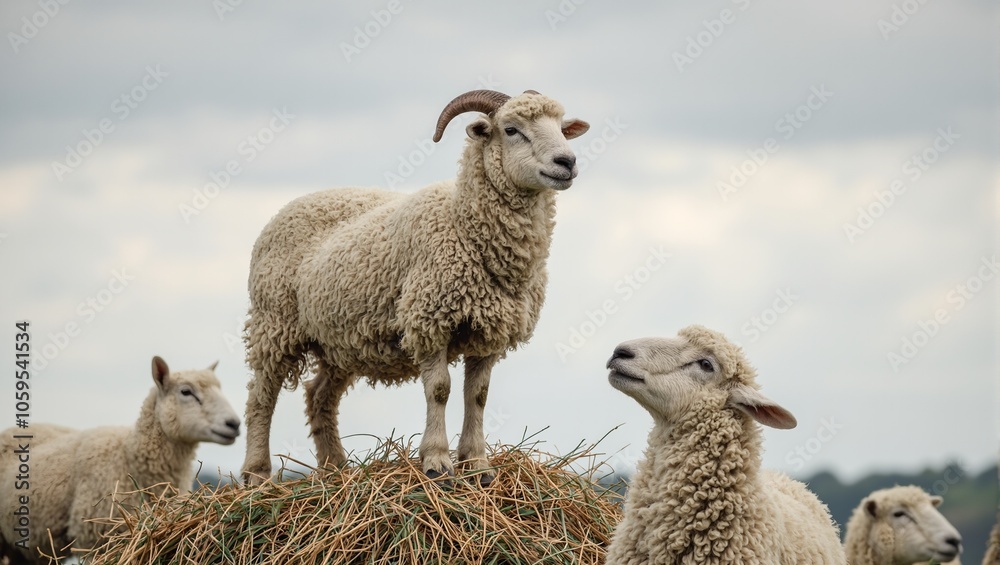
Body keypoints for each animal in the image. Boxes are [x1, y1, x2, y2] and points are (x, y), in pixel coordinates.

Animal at [239, 89, 589, 486]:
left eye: (561, 127)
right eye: (511, 129)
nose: (567, 161)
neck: (462, 224)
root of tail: (286, 207)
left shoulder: (490, 332)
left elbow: (478, 395)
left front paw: (478, 466)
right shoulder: (429, 320)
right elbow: (440, 390)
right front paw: (437, 462)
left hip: (336, 341)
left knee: (319, 396)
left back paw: (335, 469)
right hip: (274, 323)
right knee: (261, 397)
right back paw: (257, 473)